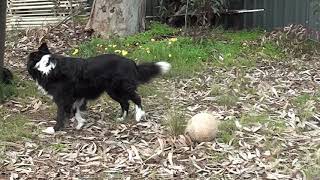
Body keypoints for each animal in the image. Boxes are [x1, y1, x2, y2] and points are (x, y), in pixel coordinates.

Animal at [27, 43, 171, 134]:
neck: (46, 66)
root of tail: (131, 62)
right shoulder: (76, 96)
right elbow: (76, 110)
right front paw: (80, 123)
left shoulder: (63, 98)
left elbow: (61, 114)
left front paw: (54, 129)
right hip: (113, 91)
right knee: (125, 103)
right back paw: (122, 118)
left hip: (122, 87)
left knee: (136, 98)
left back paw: (139, 115)